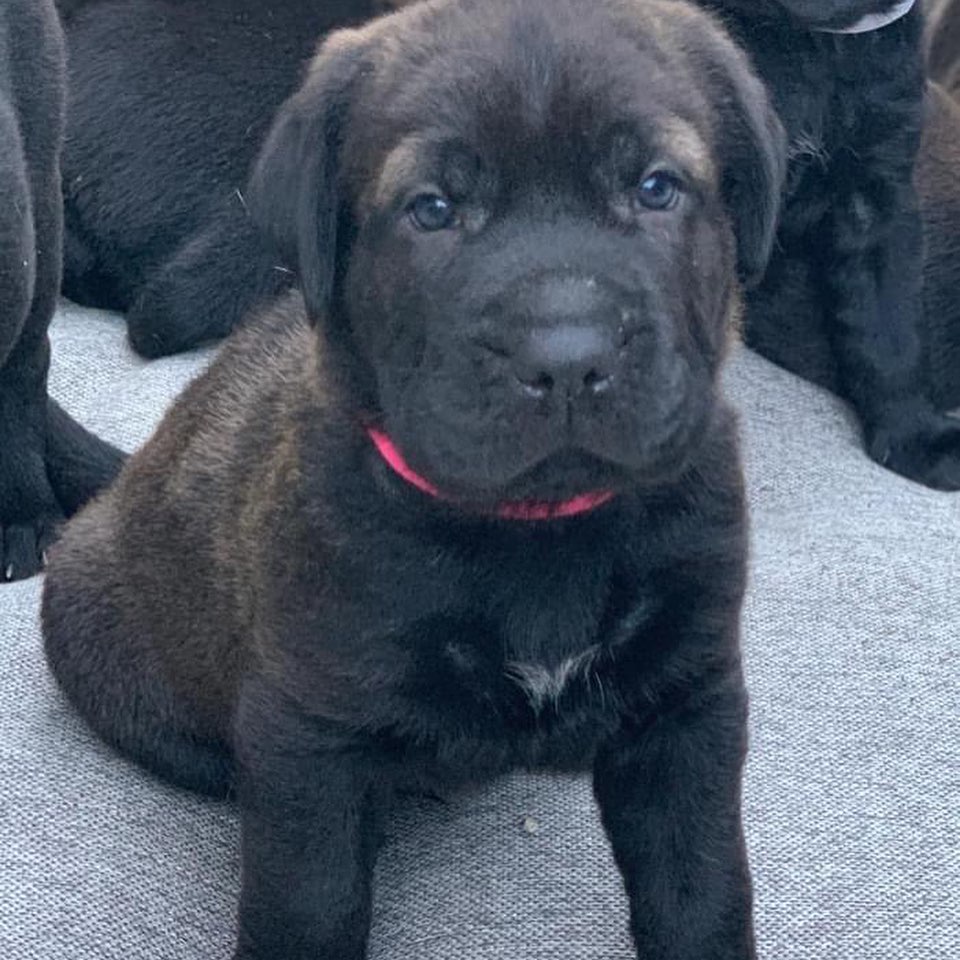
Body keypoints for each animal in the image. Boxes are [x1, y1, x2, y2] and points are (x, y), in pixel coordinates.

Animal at [39, 3, 788, 956]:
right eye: (432, 208)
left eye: (656, 188)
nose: (567, 355)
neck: (538, 529)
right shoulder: (310, 734)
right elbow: (311, 902)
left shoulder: (687, 706)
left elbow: (700, 885)